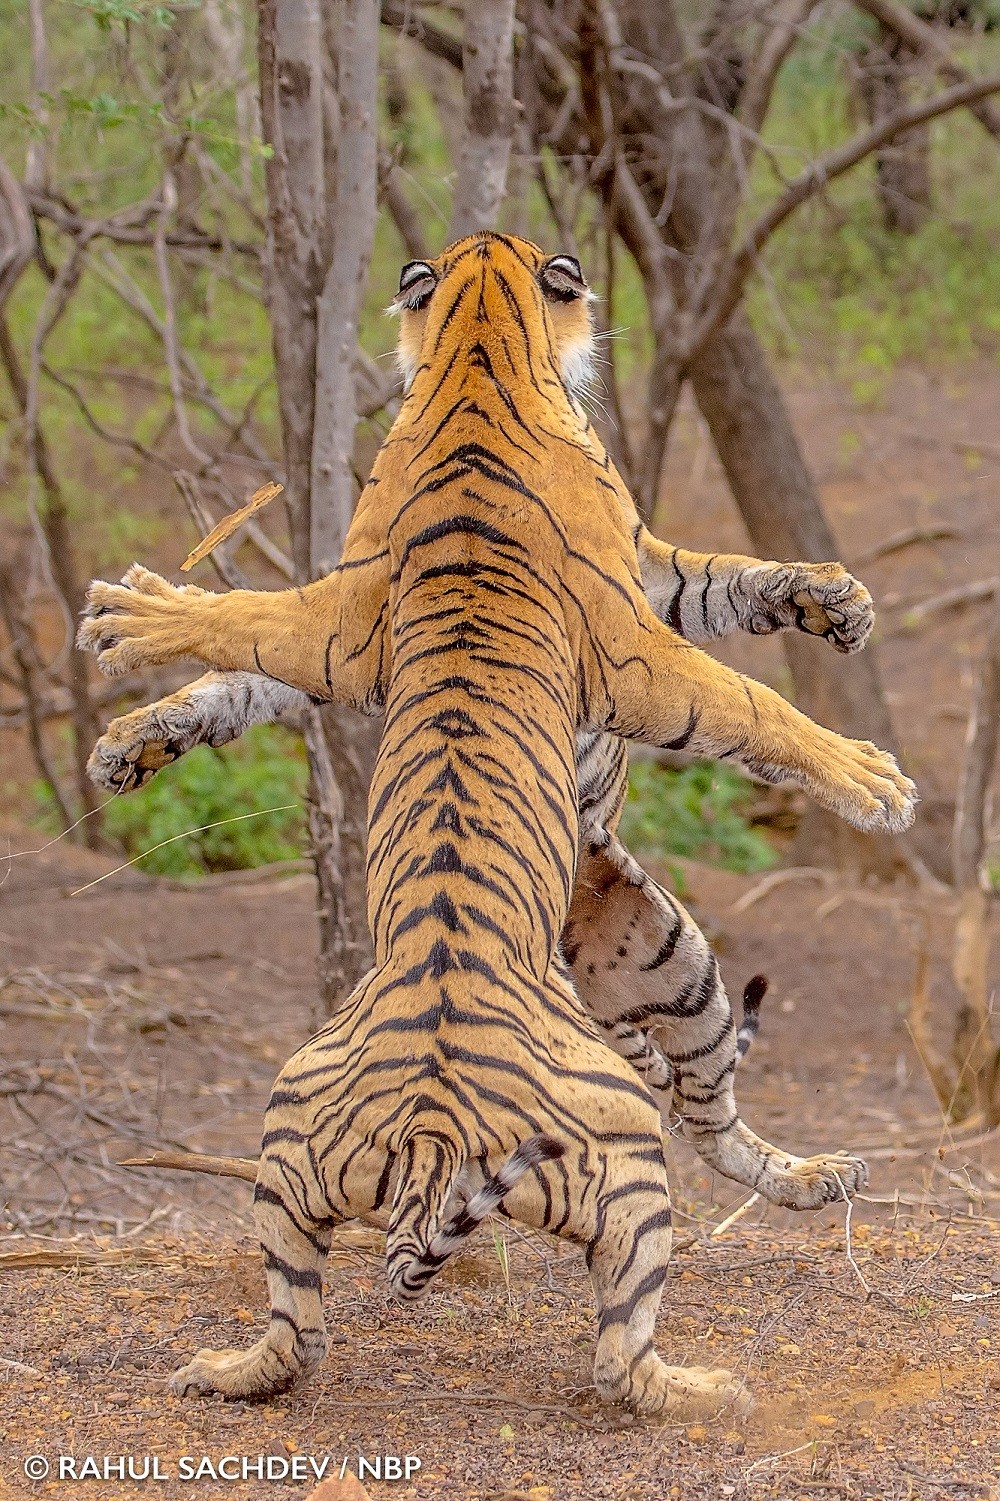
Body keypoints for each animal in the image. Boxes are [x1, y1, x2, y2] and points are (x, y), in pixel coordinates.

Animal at [78, 231, 912, 1404]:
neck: (476, 350)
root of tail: (433, 1129)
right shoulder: (618, 638)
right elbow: (751, 702)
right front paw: (875, 779)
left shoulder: (489, 607)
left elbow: (730, 581)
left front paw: (831, 599)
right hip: (619, 1120)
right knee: (622, 1340)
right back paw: (714, 1386)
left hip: (636, 988)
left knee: (702, 1124)